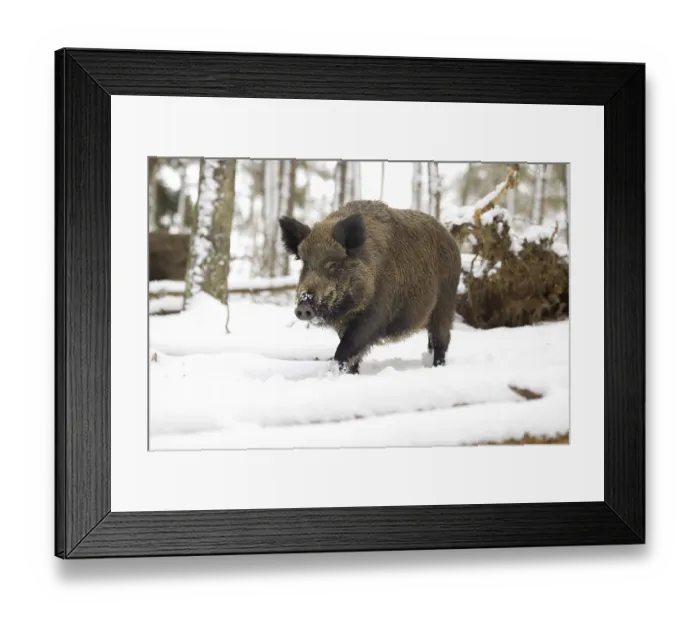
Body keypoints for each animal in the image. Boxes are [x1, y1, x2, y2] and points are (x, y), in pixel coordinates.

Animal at [278, 200, 462, 374]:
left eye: (333, 264)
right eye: (305, 264)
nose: (304, 306)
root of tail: (452, 241)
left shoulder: (376, 314)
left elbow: (347, 348)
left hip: (445, 303)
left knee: (442, 340)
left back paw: (437, 366)